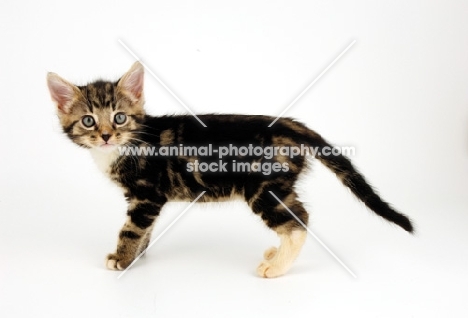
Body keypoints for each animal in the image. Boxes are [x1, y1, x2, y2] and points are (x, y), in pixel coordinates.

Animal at [46, 62, 414, 278]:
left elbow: (131, 229)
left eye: (119, 117)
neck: (124, 146)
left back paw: (276, 267)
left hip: (262, 187)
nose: (107, 135)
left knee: (298, 223)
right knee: (298, 216)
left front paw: (121, 259)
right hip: (276, 185)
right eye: (88, 121)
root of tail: (290, 125)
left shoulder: (146, 195)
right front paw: (139, 257)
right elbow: (145, 231)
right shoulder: (146, 199)